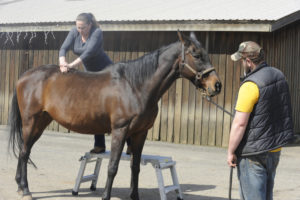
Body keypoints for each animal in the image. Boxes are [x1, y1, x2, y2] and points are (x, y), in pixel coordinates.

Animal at [8, 31, 221, 200]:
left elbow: (135, 167)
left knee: (25, 151)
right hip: (31, 121)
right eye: (196, 55)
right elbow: (112, 167)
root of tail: (24, 76)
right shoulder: (120, 130)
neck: (135, 86)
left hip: (41, 122)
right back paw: (25, 190)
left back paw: (19, 186)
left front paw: (134, 196)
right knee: (24, 152)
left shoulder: (140, 133)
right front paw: (106, 196)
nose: (216, 85)